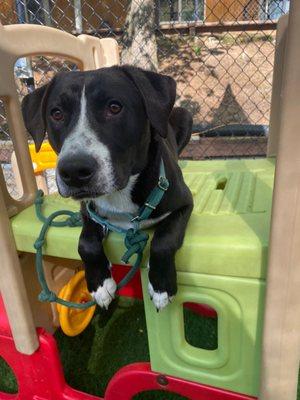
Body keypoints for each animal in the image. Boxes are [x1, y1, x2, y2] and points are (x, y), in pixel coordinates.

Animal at [22, 65, 193, 310]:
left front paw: (161, 286)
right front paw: (100, 284)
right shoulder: (89, 211)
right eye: (56, 113)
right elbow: (85, 243)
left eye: (114, 107)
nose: (74, 171)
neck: (119, 193)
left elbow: (165, 239)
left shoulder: (184, 204)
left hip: (184, 115)